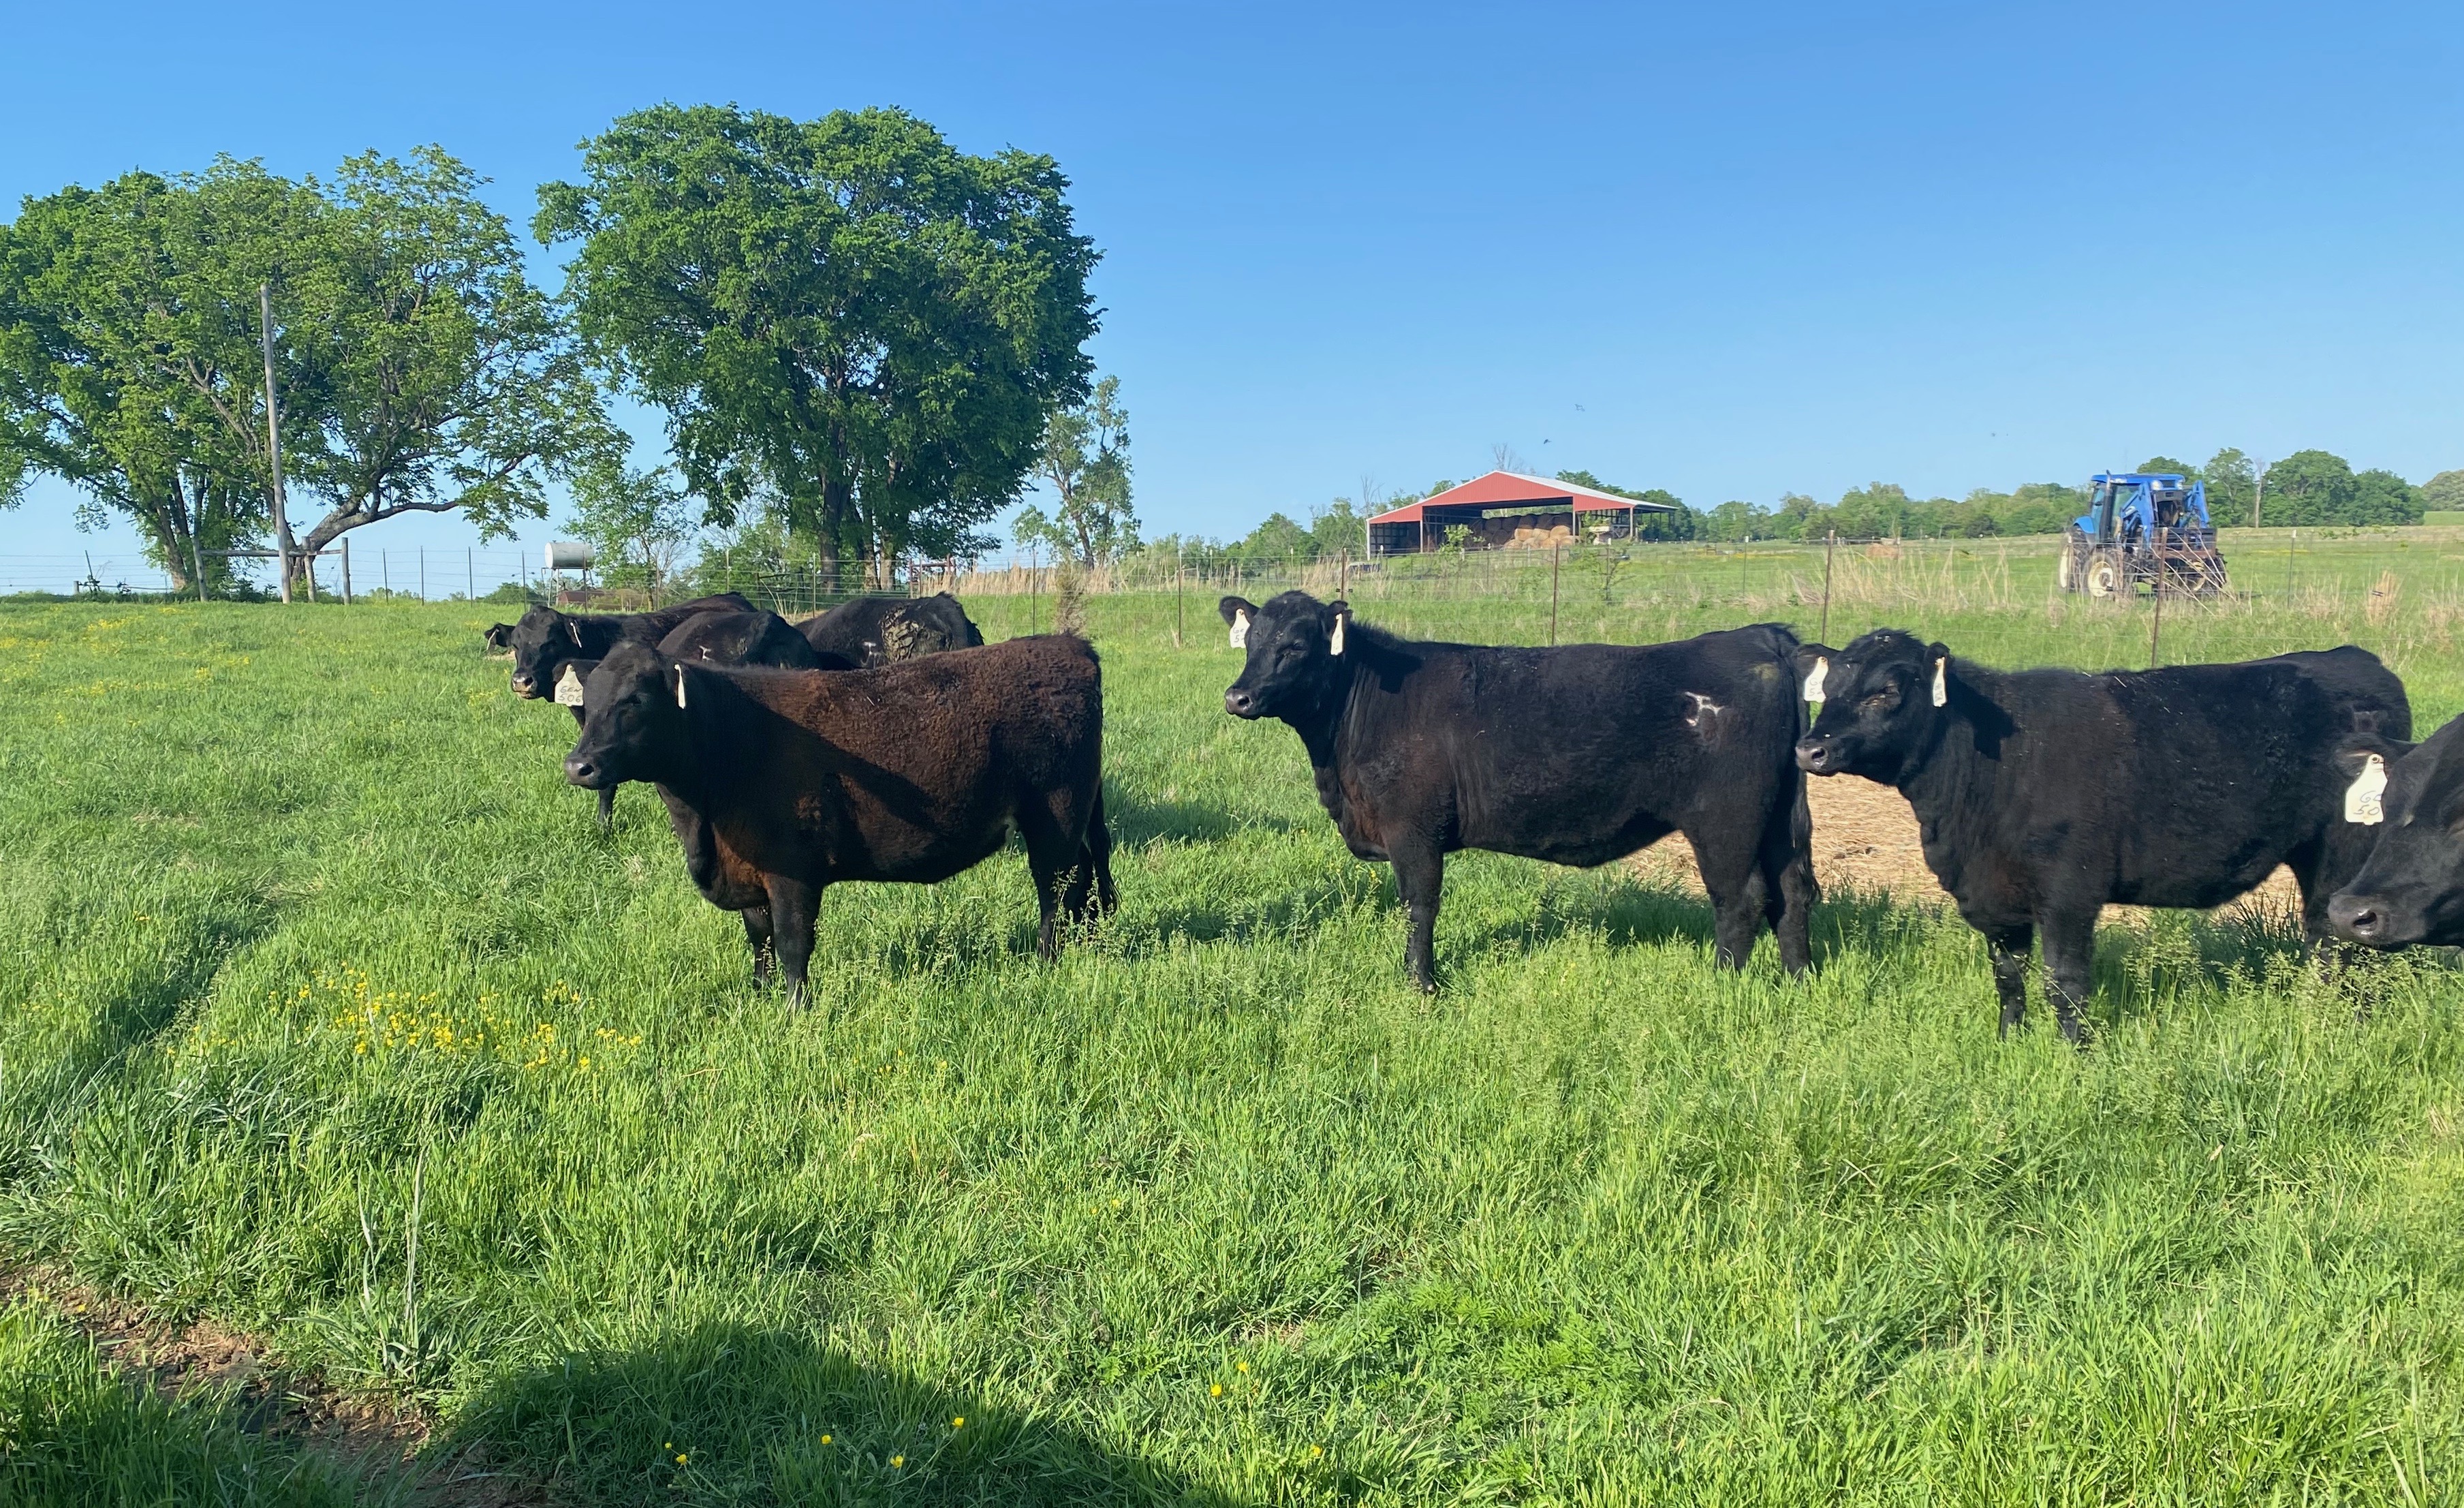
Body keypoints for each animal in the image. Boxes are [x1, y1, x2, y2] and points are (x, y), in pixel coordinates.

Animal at [562, 635, 1114, 1002]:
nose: (577, 765)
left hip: (1055, 814)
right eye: (587, 702)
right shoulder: (748, 874)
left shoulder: (793, 874)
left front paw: (795, 1011)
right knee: (1085, 877)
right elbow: (759, 940)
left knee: (1054, 889)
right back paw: (1089, 945)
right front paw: (759, 998)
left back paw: (1046, 962)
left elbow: (791, 945)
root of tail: (1070, 645)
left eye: (635, 700)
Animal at [1218, 591, 1815, 991]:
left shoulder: (1413, 828)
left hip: (1726, 820)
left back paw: (1720, 985)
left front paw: (1421, 984)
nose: (1236, 697)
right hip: (1781, 818)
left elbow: (1419, 905)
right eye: (1250, 642)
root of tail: (1759, 636)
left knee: (1740, 899)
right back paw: (1798, 979)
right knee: (1793, 893)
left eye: (1296, 646)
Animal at [1791, 629, 2411, 1040]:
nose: (1808, 749)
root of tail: (2351, 658)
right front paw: (2009, 1041)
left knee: (2345, 945)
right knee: (2321, 940)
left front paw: (2077, 1055)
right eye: (1831, 686)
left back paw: (2349, 1023)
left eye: (1886, 691)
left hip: (2346, 849)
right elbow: (2008, 978)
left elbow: (2064, 983)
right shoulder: (1994, 897)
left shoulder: (2069, 892)